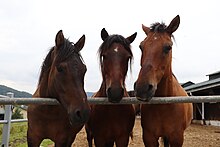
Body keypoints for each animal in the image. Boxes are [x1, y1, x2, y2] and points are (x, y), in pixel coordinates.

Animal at [134, 15, 192, 146]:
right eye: (141, 46)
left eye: (168, 47)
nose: (142, 88)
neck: (164, 106)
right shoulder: (149, 138)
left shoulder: (177, 138)